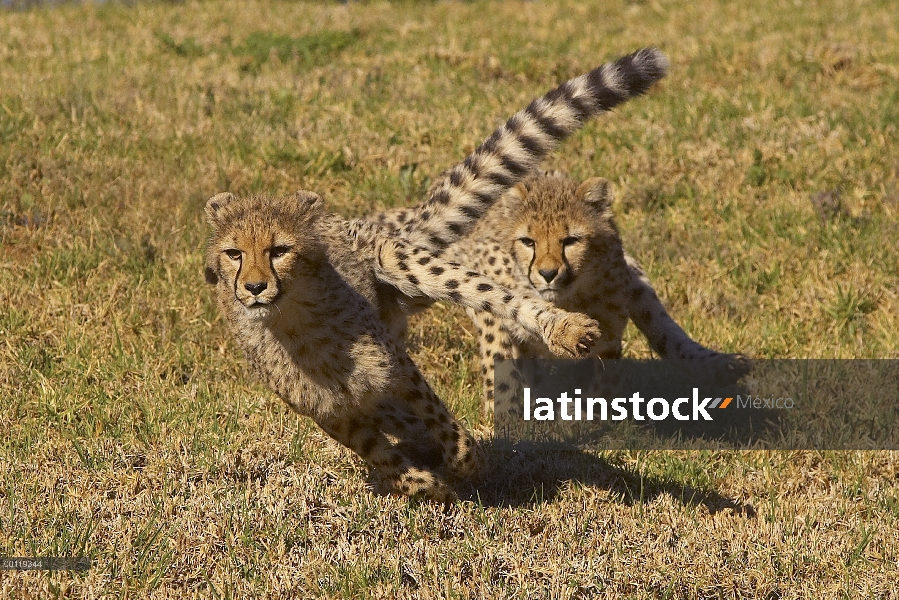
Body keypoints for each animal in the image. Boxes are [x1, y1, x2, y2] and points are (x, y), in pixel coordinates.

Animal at [206, 47, 668, 500]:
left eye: (279, 250)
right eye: (234, 254)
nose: (254, 287)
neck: (299, 327)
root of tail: (355, 227)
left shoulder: (398, 369)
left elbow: (434, 413)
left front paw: (465, 460)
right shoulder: (332, 414)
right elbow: (376, 450)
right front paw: (421, 482)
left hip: (403, 263)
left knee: (501, 299)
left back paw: (566, 331)